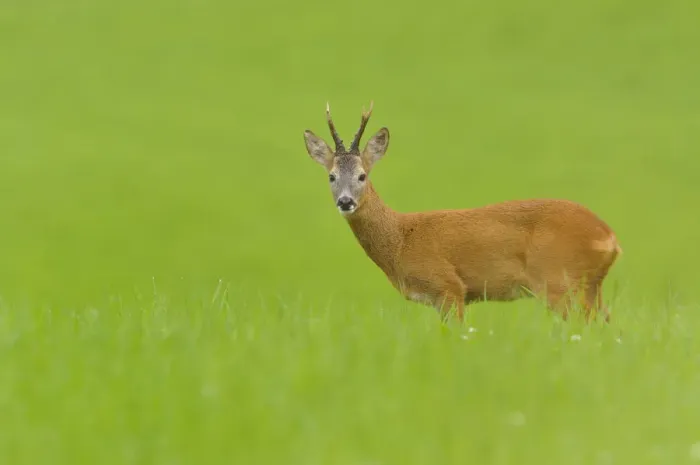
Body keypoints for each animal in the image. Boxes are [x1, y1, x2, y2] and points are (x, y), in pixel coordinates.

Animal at [302, 102, 622, 323]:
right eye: (331, 176)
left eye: (362, 175)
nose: (345, 202)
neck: (400, 240)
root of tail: (610, 238)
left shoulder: (449, 288)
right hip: (588, 286)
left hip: (559, 281)